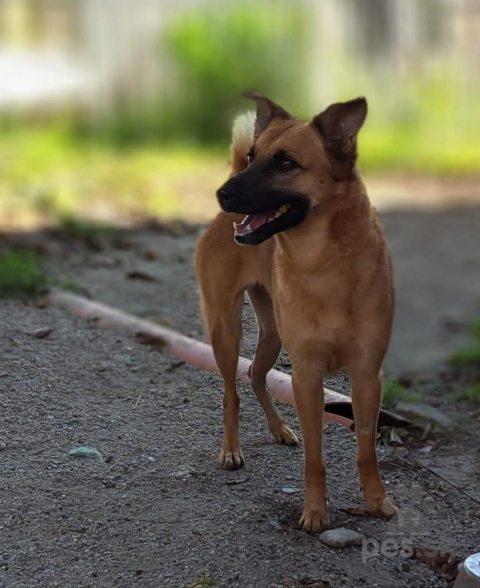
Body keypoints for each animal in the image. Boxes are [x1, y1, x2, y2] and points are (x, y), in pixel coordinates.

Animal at [194, 89, 398, 532]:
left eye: (286, 162)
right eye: (252, 157)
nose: (221, 193)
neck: (323, 263)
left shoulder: (367, 376)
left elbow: (367, 450)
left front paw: (376, 501)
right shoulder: (307, 376)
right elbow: (315, 458)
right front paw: (315, 512)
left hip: (272, 334)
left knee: (255, 375)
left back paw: (279, 429)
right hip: (226, 330)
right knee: (232, 391)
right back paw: (231, 450)